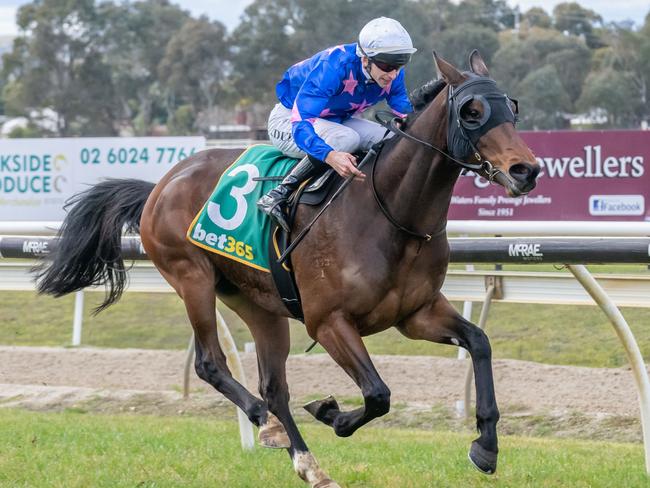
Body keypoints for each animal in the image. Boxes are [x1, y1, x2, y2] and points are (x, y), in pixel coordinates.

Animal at [38, 51, 540, 486]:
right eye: (472, 111)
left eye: (512, 107)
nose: (526, 170)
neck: (391, 211)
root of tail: (161, 184)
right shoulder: (329, 321)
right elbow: (377, 394)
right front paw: (332, 413)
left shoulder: (416, 314)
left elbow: (479, 342)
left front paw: (486, 447)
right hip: (191, 278)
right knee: (212, 363)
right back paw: (269, 424)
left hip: (259, 306)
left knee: (274, 385)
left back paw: (309, 464)